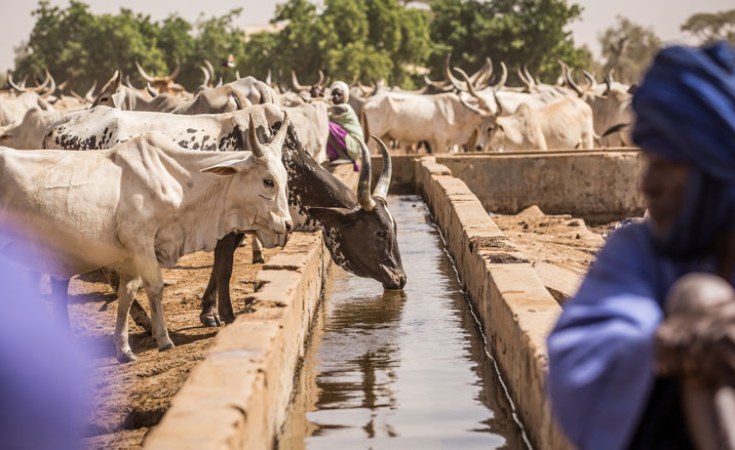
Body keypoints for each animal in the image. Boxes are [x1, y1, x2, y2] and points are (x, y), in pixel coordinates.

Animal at [0, 123, 294, 362]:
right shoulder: (140, 240)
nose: (288, 225)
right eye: (268, 181)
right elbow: (154, 286)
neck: (177, 180)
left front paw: (124, 350)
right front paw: (163, 339)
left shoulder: (131, 251)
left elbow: (128, 292)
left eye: (285, 179)